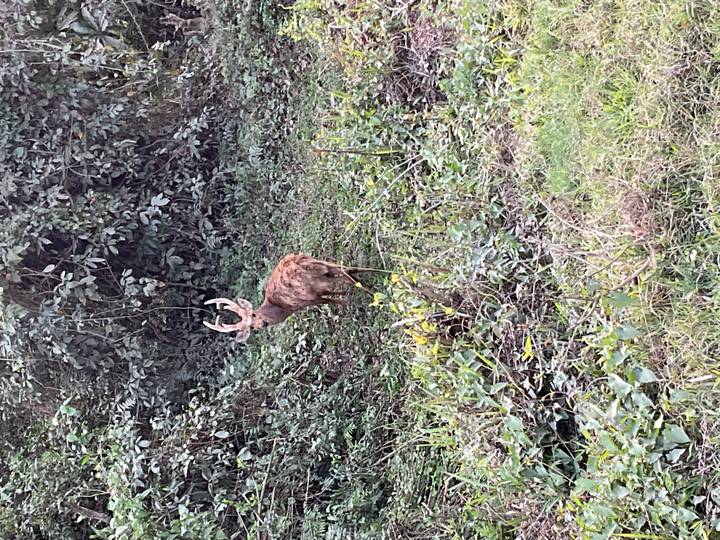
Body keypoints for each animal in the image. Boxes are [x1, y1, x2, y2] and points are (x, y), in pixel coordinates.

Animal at [203, 253, 380, 342]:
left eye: (253, 314)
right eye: (251, 328)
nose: (263, 323)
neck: (282, 308)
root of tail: (299, 263)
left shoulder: (308, 299)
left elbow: (328, 300)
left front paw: (347, 303)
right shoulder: (314, 295)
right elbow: (330, 296)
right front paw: (345, 296)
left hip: (314, 283)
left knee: (346, 275)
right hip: (323, 265)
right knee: (348, 269)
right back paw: (377, 277)